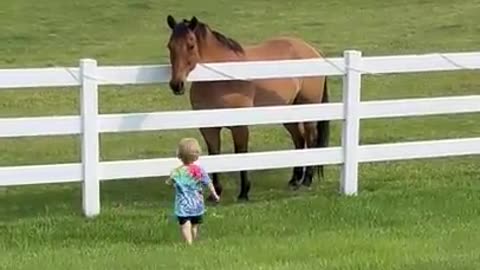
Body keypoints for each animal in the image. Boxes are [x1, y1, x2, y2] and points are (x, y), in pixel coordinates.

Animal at [166, 14, 330, 200]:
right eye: (170, 46)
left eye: (191, 45)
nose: (176, 85)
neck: (220, 80)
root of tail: (313, 51)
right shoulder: (209, 128)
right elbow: (214, 154)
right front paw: (216, 192)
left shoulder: (240, 126)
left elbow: (241, 154)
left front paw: (244, 192)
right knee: (299, 139)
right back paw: (295, 180)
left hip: (308, 110)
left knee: (310, 139)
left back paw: (307, 180)